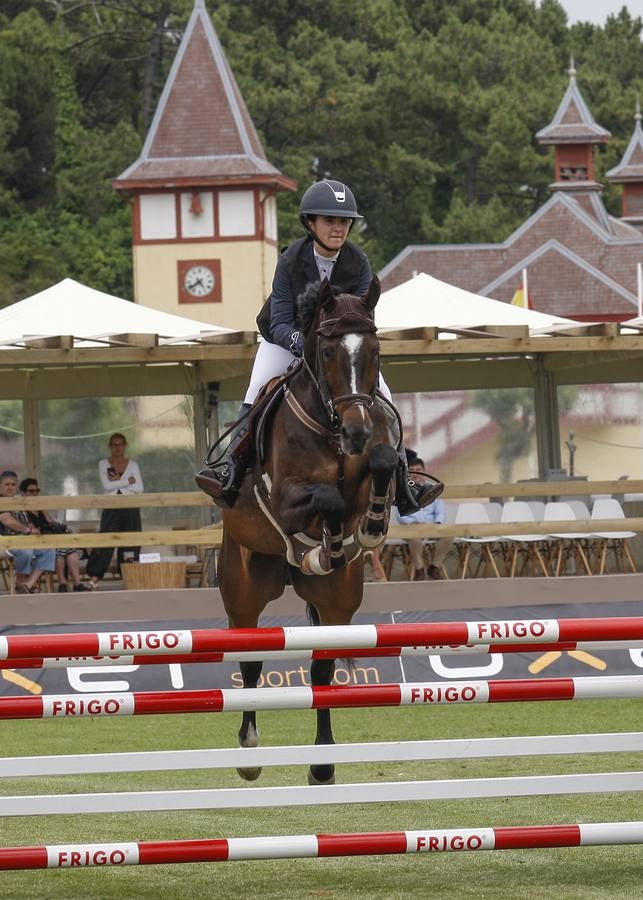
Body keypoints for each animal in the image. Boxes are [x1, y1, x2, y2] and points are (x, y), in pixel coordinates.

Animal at [221, 278, 402, 784]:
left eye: (375, 351)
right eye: (326, 352)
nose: (358, 433)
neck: (331, 425)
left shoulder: (373, 464)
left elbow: (380, 467)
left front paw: (369, 526)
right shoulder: (285, 500)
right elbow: (327, 498)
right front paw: (330, 540)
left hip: (336, 598)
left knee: (322, 671)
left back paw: (322, 765)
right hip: (244, 586)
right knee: (249, 663)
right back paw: (249, 756)